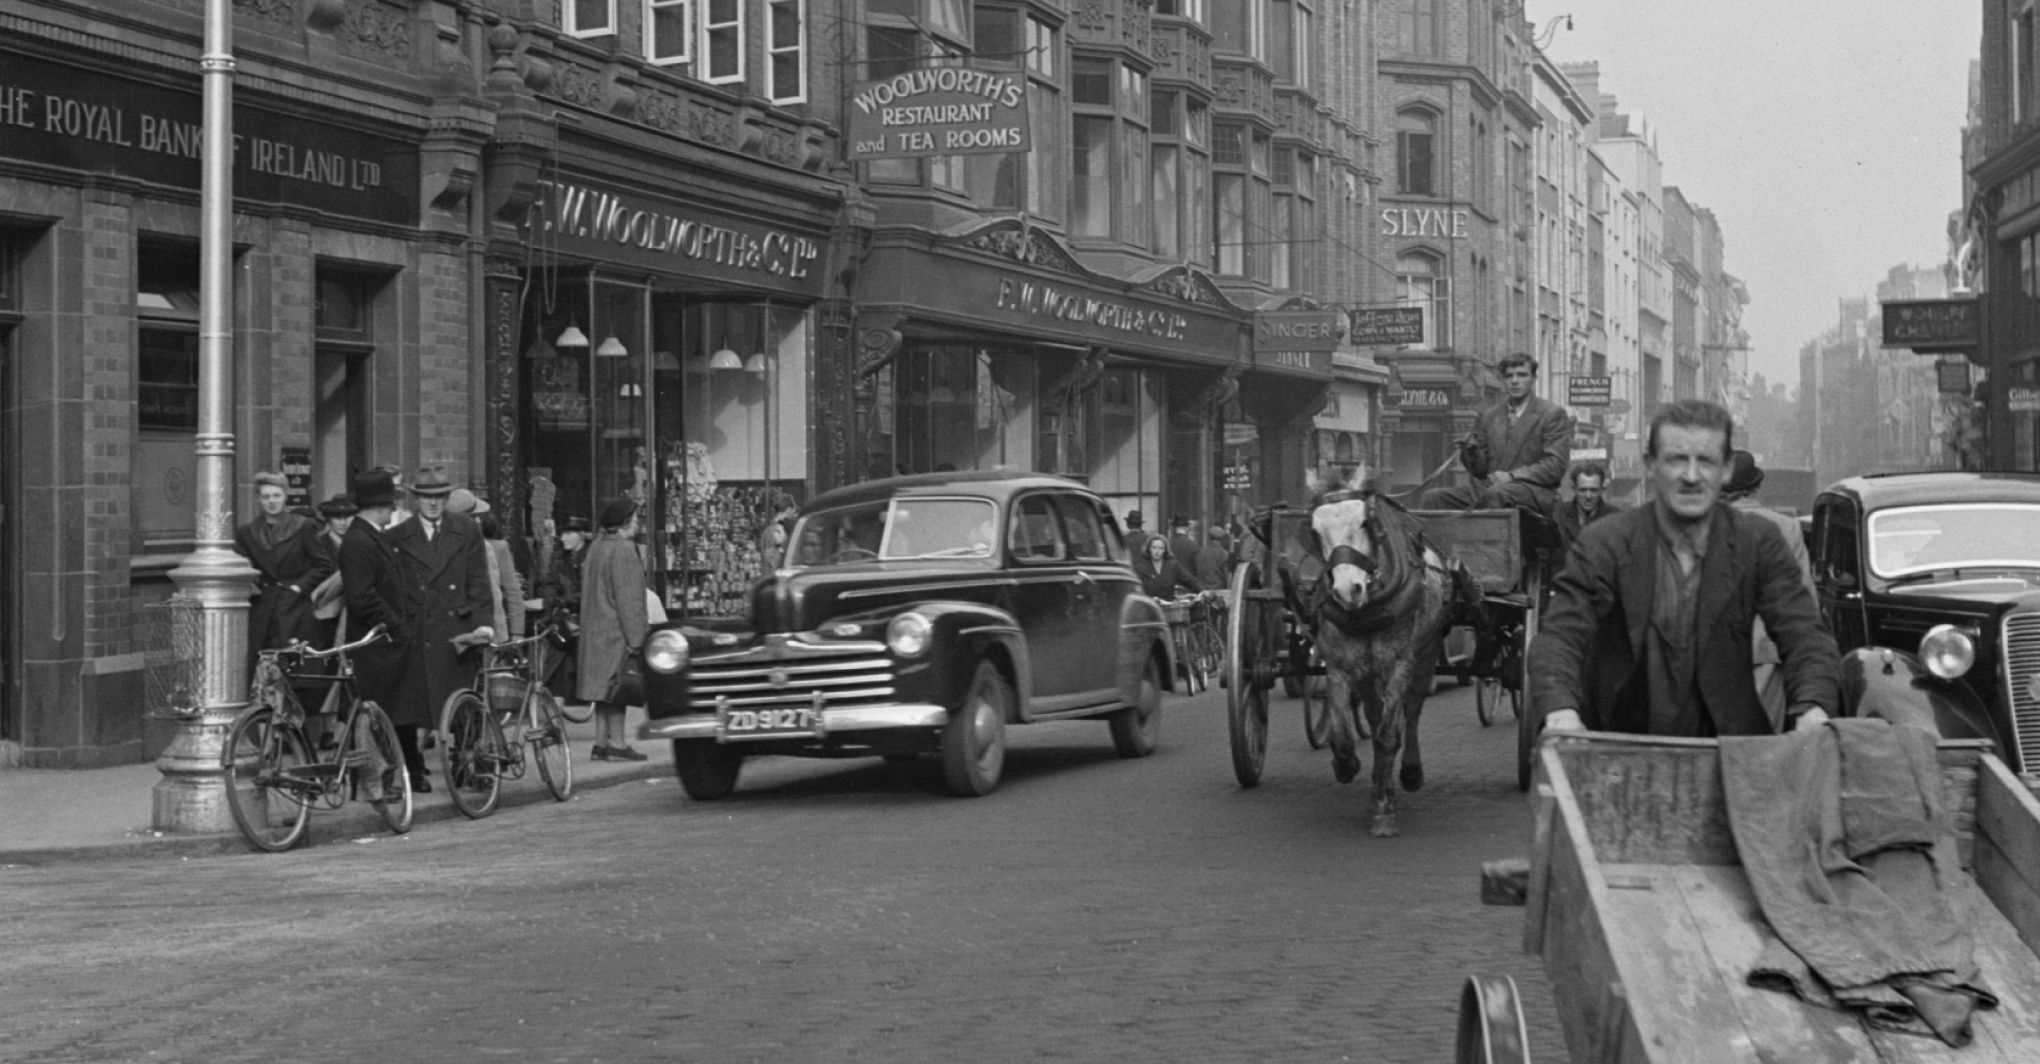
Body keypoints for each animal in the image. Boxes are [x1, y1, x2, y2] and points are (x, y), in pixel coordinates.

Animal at [1305, 468, 1485, 831]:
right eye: (1315, 531)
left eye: (1365, 522)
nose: (1347, 591)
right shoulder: (1340, 667)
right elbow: (1343, 735)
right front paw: (1348, 767)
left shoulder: (1400, 663)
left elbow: (1390, 734)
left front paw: (1384, 809)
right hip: (1367, 672)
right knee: (1375, 717)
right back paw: (1378, 781)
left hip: (1426, 654)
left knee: (1411, 712)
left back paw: (1408, 774)